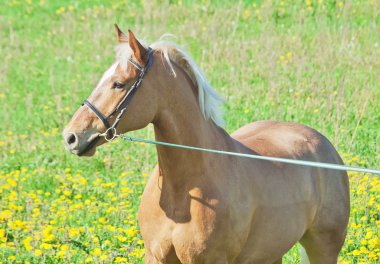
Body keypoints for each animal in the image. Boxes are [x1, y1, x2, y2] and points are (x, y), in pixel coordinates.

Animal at [63, 24, 350, 262]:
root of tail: (324, 146)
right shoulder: (155, 257)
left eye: (119, 84)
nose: (71, 136)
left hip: (323, 249)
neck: (184, 191)